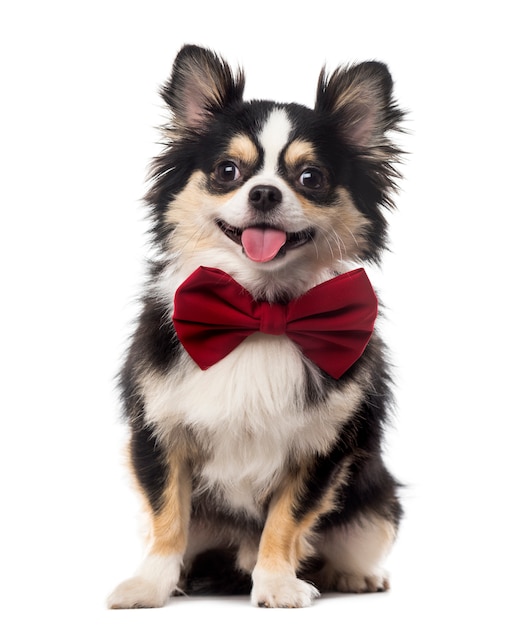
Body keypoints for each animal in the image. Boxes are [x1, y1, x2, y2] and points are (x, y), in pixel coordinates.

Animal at [107, 42, 404, 604]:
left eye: (311, 178)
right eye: (227, 171)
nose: (265, 193)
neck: (262, 305)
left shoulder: (322, 448)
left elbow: (285, 521)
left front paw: (277, 583)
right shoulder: (159, 433)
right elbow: (167, 515)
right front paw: (151, 584)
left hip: (376, 505)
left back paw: (350, 574)